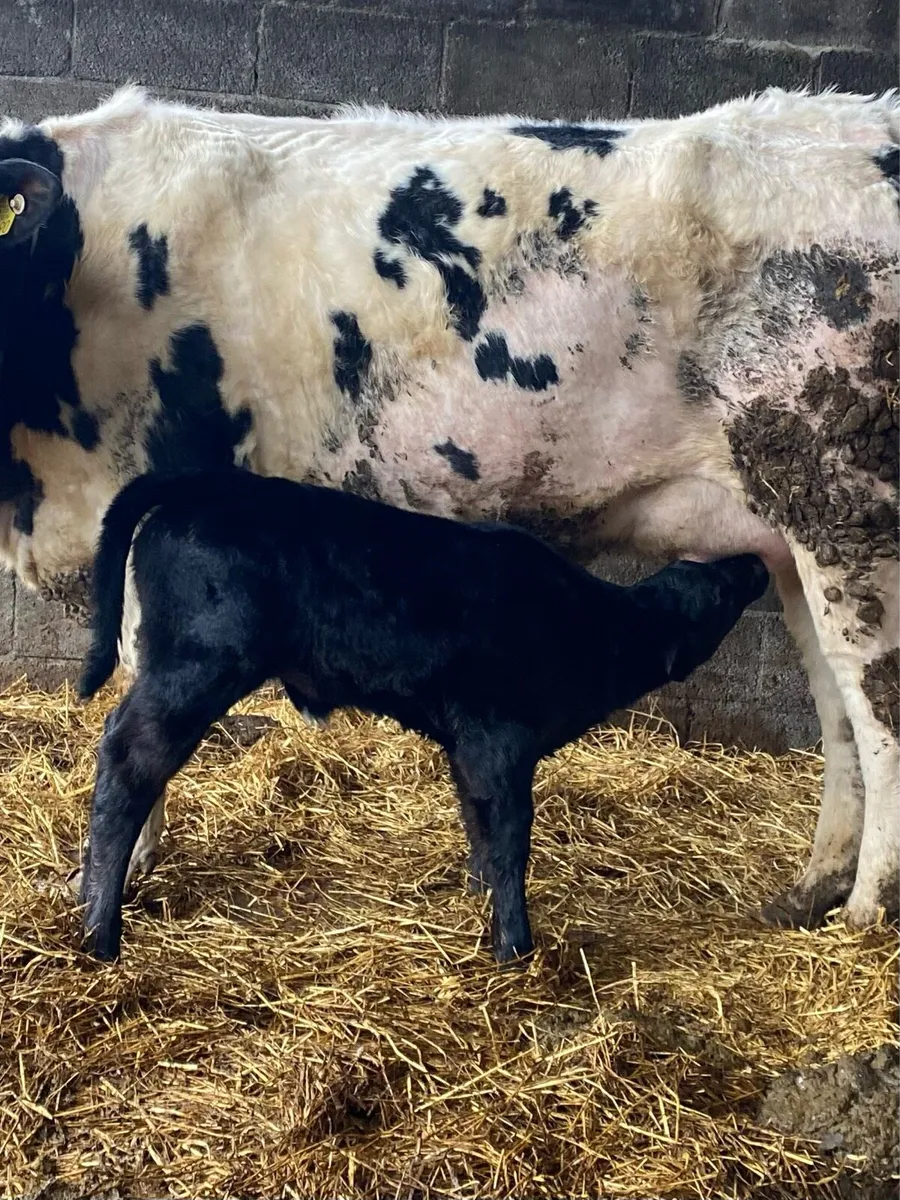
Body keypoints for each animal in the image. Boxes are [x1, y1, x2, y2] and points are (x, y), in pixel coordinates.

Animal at [75, 468, 770, 962]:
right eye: (721, 593)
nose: (757, 562)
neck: (588, 625)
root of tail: (203, 483)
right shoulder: (499, 739)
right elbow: (510, 837)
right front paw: (515, 946)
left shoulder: (467, 746)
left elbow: (478, 825)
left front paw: (479, 898)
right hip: (200, 663)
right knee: (129, 758)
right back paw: (100, 933)